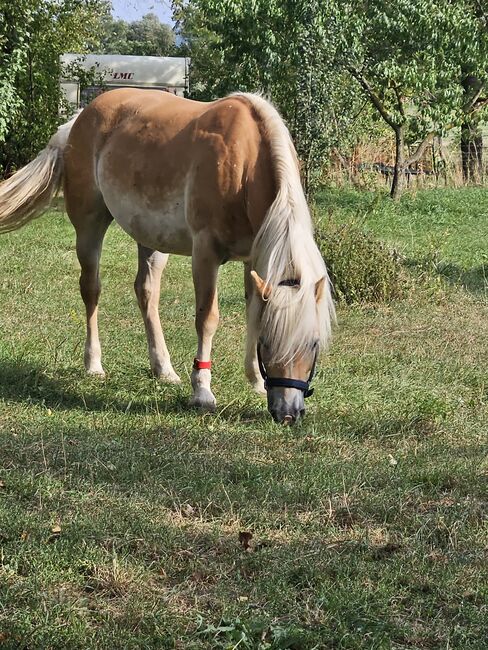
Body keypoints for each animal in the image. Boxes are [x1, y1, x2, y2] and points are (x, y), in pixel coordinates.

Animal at [0, 90, 336, 426]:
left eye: (314, 344)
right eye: (268, 344)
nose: (288, 413)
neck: (244, 164)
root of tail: (78, 119)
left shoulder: (254, 258)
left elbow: (253, 313)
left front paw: (254, 380)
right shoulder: (205, 253)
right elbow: (207, 318)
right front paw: (202, 392)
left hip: (152, 240)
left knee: (146, 292)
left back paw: (163, 369)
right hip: (89, 225)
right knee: (91, 289)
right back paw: (94, 364)